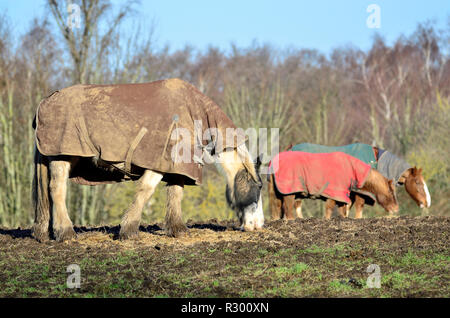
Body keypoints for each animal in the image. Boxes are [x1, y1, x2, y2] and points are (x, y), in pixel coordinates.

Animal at [34, 78, 264, 242]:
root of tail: (46, 100)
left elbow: (176, 193)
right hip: (62, 156)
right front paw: (128, 230)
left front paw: (177, 229)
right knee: (57, 189)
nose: (258, 225)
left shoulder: (177, 166)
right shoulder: (159, 161)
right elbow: (146, 190)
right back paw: (66, 232)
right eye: (259, 187)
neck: (193, 112)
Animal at [268, 150, 398, 220]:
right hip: (288, 191)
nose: (396, 209)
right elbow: (330, 208)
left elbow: (342, 209)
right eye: (391, 192)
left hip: (277, 191)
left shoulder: (341, 194)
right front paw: (327, 219)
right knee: (288, 207)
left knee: (277, 206)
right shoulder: (335, 191)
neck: (351, 168)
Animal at [284, 143, 430, 219]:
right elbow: (358, 208)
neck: (375, 160)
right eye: (417, 182)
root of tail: (290, 148)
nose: (426, 203)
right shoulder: (359, 191)